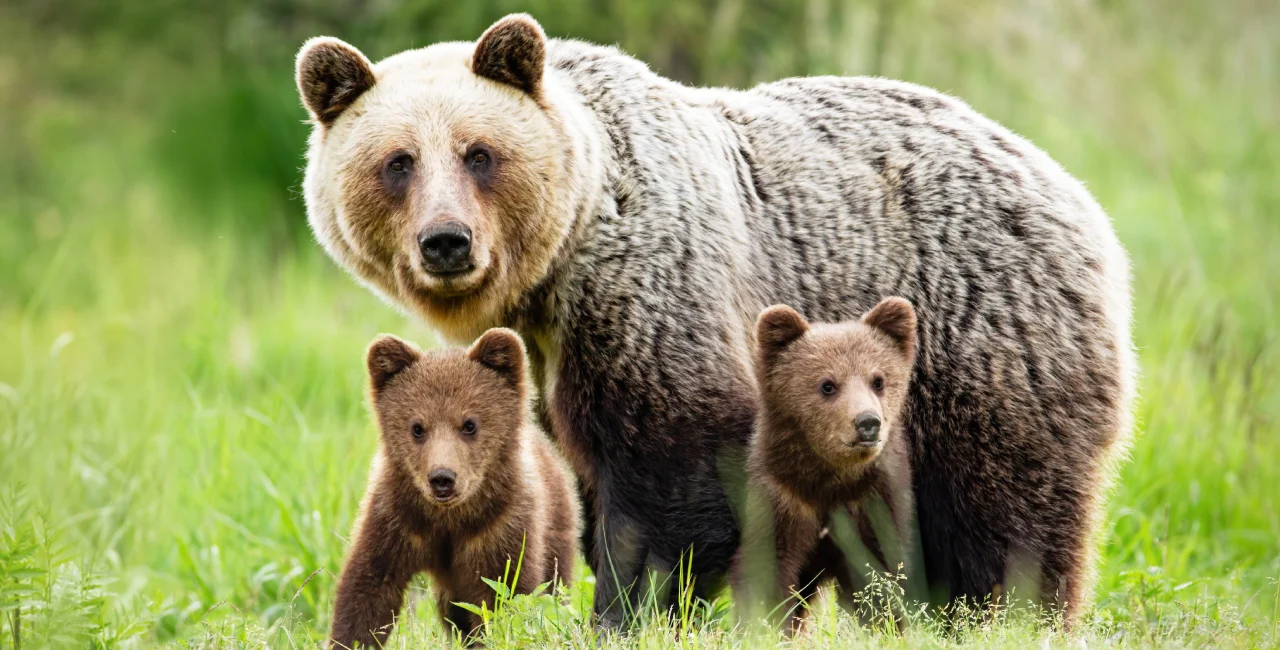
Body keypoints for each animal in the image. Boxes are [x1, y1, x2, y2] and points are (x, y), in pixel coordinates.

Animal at [329, 329, 580, 648]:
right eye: (417, 427)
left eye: (469, 424)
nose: (442, 477)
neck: (449, 519)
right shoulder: (395, 521)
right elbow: (367, 591)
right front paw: (351, 638)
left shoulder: (500, 528)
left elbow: (506, 594)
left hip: (556, 526)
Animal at [735, 298, 918, 634]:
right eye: (828, 385)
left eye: (878, 380)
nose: (868, 422)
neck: (829, 483)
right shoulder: (783, 499)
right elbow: (768, 569)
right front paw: (765, 625)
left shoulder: (873, 502)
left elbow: (880, 573)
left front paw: (885, 626)